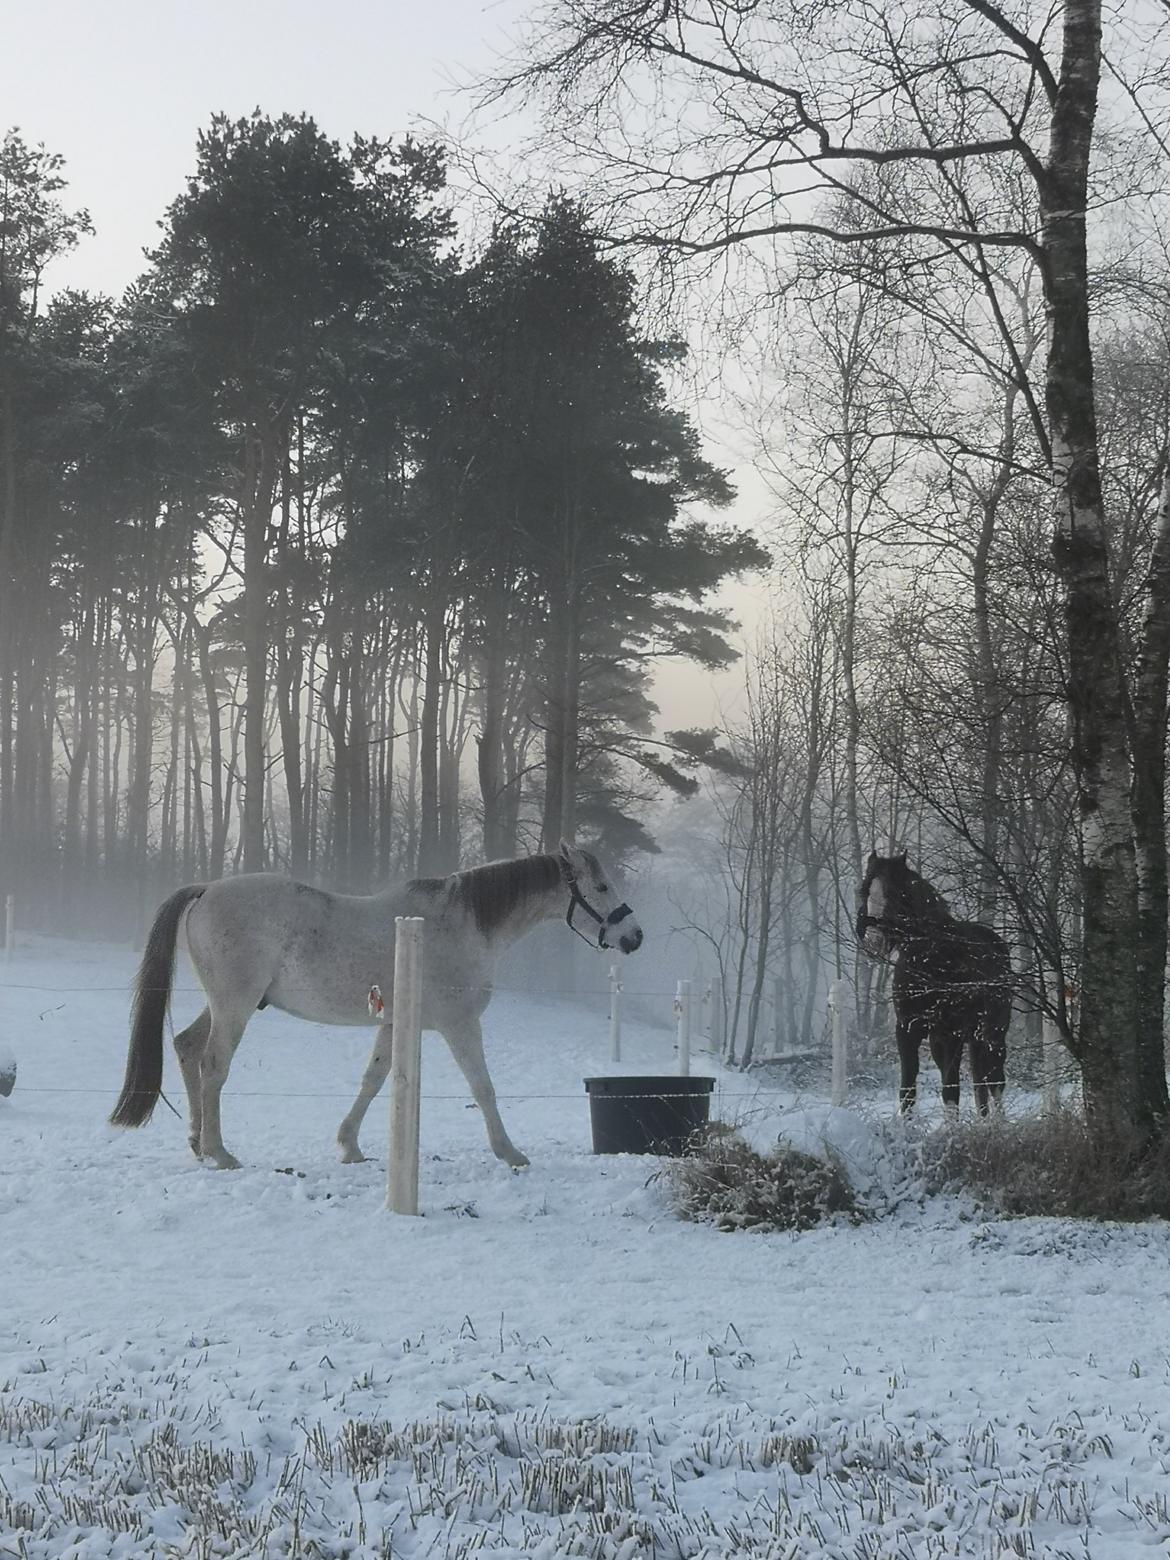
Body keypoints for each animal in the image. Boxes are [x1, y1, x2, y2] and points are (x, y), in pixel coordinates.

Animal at [110, 842, 645, 1173]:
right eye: (601, 888)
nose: (634, 936)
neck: (462, 924)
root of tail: (205, 889)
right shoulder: (460, 1025)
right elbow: (484, 1088)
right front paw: (510, 1152)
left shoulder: (392, 1022)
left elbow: (373, 1078)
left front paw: (349, 1146)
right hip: (235, 1005)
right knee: (212, 1065)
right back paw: (220, 1152)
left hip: (224, 1004)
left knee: (185, 1048)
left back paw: (198, 1143)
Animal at [854, 861, 1010, 1116]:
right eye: (865, 890)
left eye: (894, 892)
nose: (873, 939)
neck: (931, 959)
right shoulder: (907, 1030)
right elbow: (907, 1092)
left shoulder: (952, 1034)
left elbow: (951, 1091)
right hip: (956, 1041)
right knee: (980, 1084)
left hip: (994, 1035)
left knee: (995, 1081)